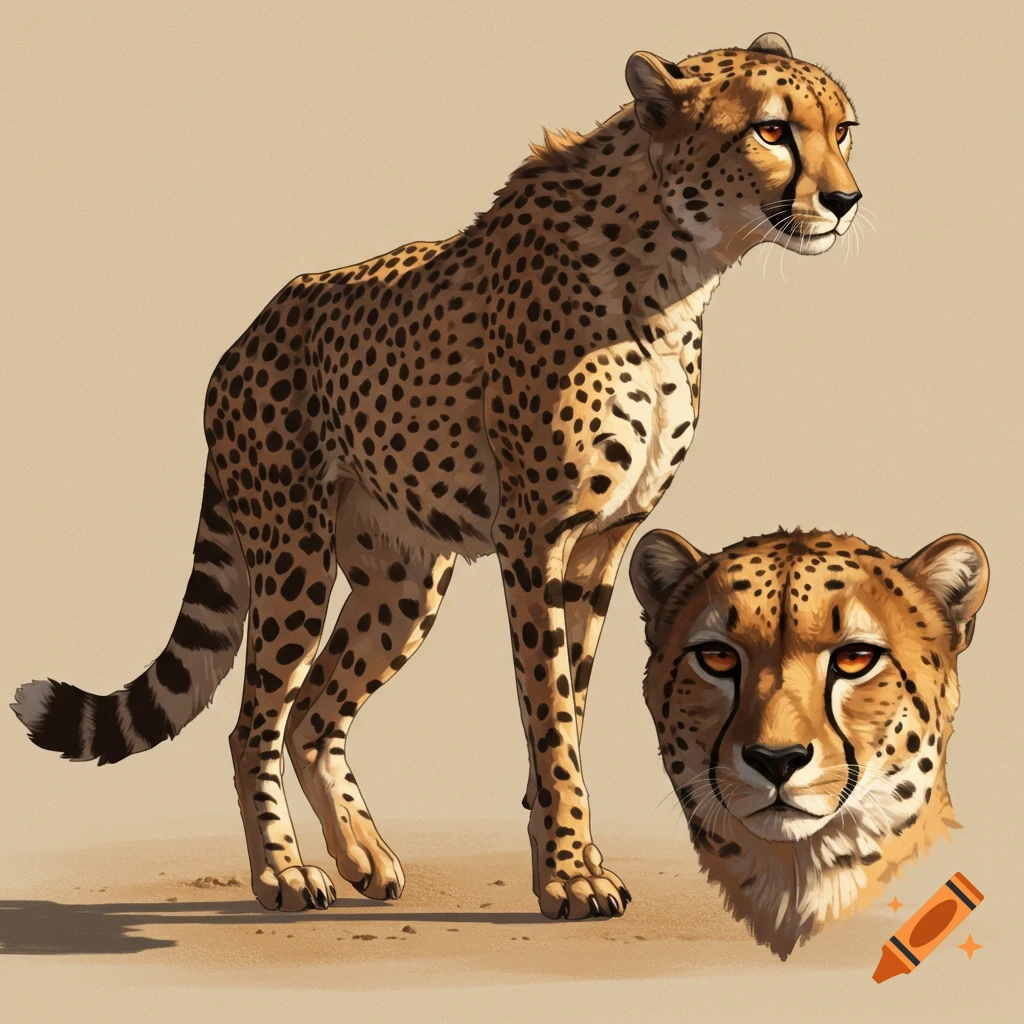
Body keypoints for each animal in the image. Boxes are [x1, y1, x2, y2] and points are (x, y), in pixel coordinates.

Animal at [11, 32, 861, 921]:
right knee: (257, 721)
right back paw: (284, 874)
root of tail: (251, 331)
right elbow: (549, 711)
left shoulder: (603, 547)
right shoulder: (535, 540)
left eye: (845, 129)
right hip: (292, 558)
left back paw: (363, 856)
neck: (675, 272)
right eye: (772, 130)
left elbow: (575, 703)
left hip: (403, 583)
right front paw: (568, 872)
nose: (846, 200)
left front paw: (568, 855)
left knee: (313, 710)